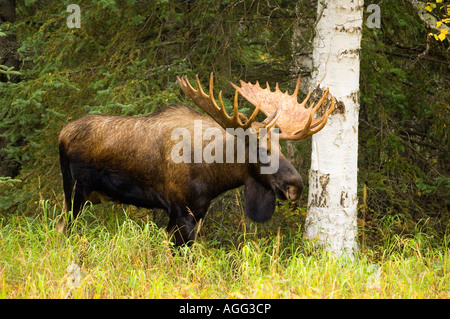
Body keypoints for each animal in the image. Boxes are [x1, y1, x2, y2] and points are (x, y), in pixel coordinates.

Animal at [57, 74, 334, 246]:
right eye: (259, 148)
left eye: (279, 146)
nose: (296, 185)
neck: (215, 173)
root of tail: (62, 134)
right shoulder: (181, 211)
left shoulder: (197, 213)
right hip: (75, 192)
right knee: (62, 228)